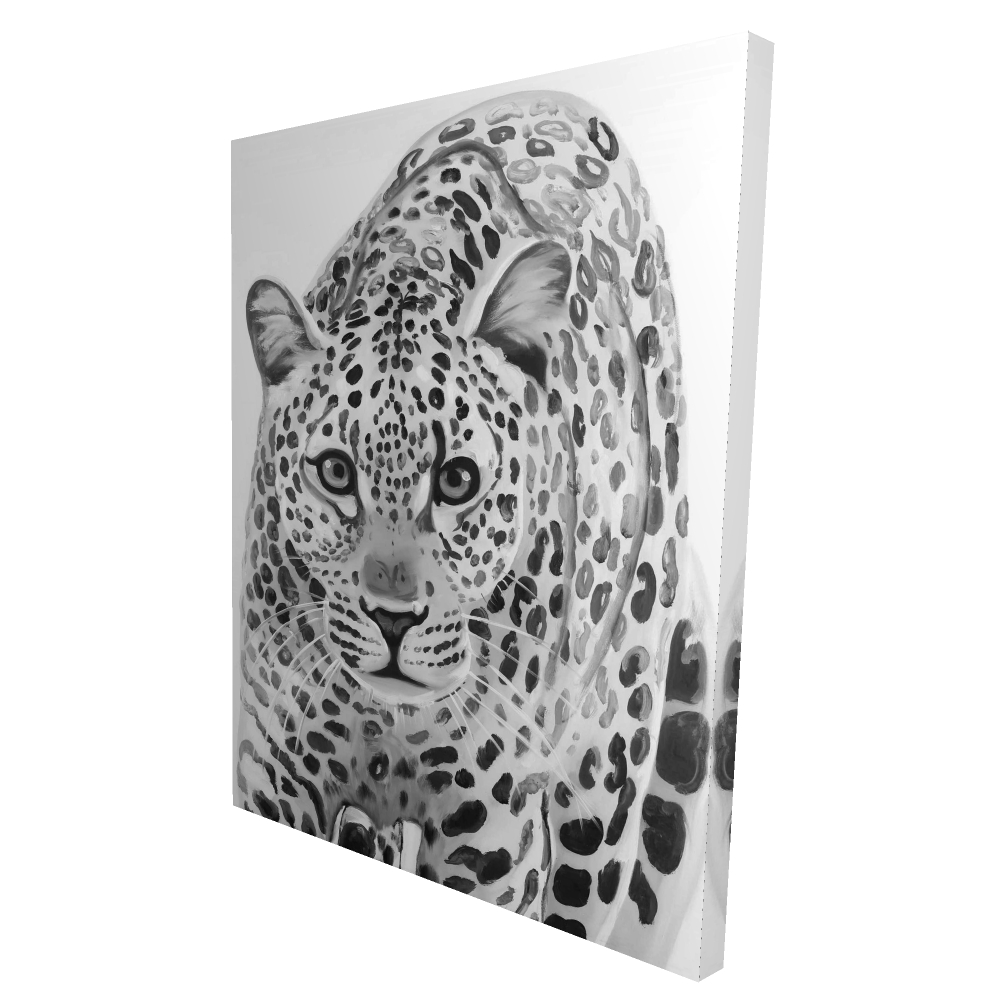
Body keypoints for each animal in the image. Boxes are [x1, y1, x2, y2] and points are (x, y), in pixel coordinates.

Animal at [236, 90, 735, 970]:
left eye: (458, 481)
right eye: (335, 472)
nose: (392, 620)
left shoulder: (492, 830)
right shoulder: (272, 773)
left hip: (601, 786)